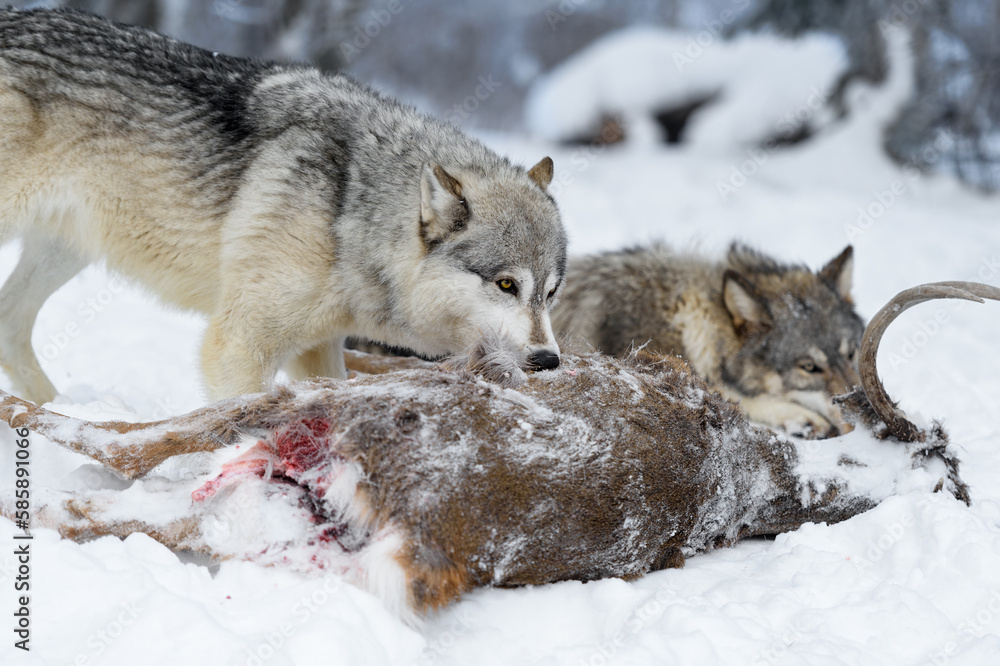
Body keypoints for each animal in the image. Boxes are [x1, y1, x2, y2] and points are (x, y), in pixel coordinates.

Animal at [0, 8, 565, 403]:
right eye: (507, 285)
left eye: (549, 294)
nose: (549, 360)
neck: (346, 210)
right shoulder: (237, 346)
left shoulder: (319, 348)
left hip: (65, 250)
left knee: (9, 320)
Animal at [0, 282, 995, 624]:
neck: (772, 478)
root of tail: (429, 535)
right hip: (287, 520)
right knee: (135, 505)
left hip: (330, 417)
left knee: (128, 457)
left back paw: (22, 445)